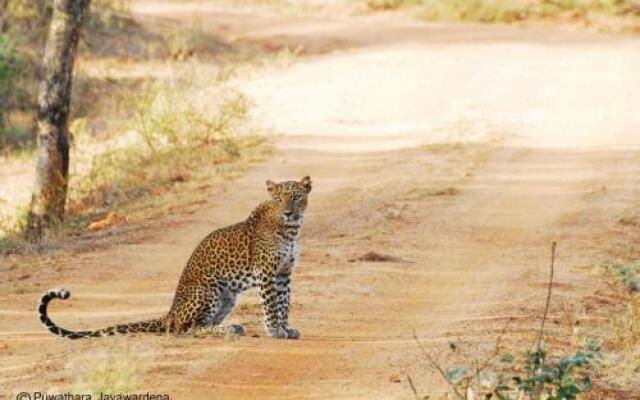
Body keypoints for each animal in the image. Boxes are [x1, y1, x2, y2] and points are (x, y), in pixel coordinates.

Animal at [37, 177, 312, 340]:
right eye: (279, 198)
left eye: (296, 196)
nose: (288, 212)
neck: (291, 229)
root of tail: (169, 313)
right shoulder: (267, 273)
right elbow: (271, 305)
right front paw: (275, 331)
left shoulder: (284, 274)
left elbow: (284, 303)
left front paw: (286, 328)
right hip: (207, 291)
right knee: (185, 329)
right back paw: (227, 329)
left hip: (228, 297)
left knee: (198, 324)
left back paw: (229, 327)